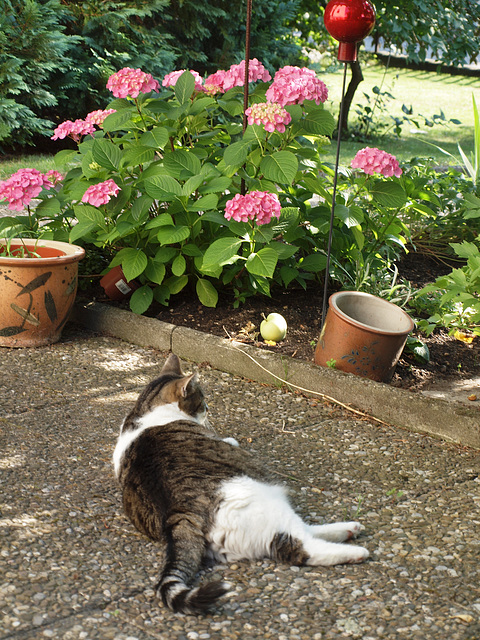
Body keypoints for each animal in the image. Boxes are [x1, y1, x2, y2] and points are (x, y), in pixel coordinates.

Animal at [114, 356, 370, 616]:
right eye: (202, 399)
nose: (209, 408)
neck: (146, 411)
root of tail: (180, 514)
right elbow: (228, 441)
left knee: (304, 531)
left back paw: (349, 529)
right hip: (266, 501)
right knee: (299, 546)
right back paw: (355, 549)